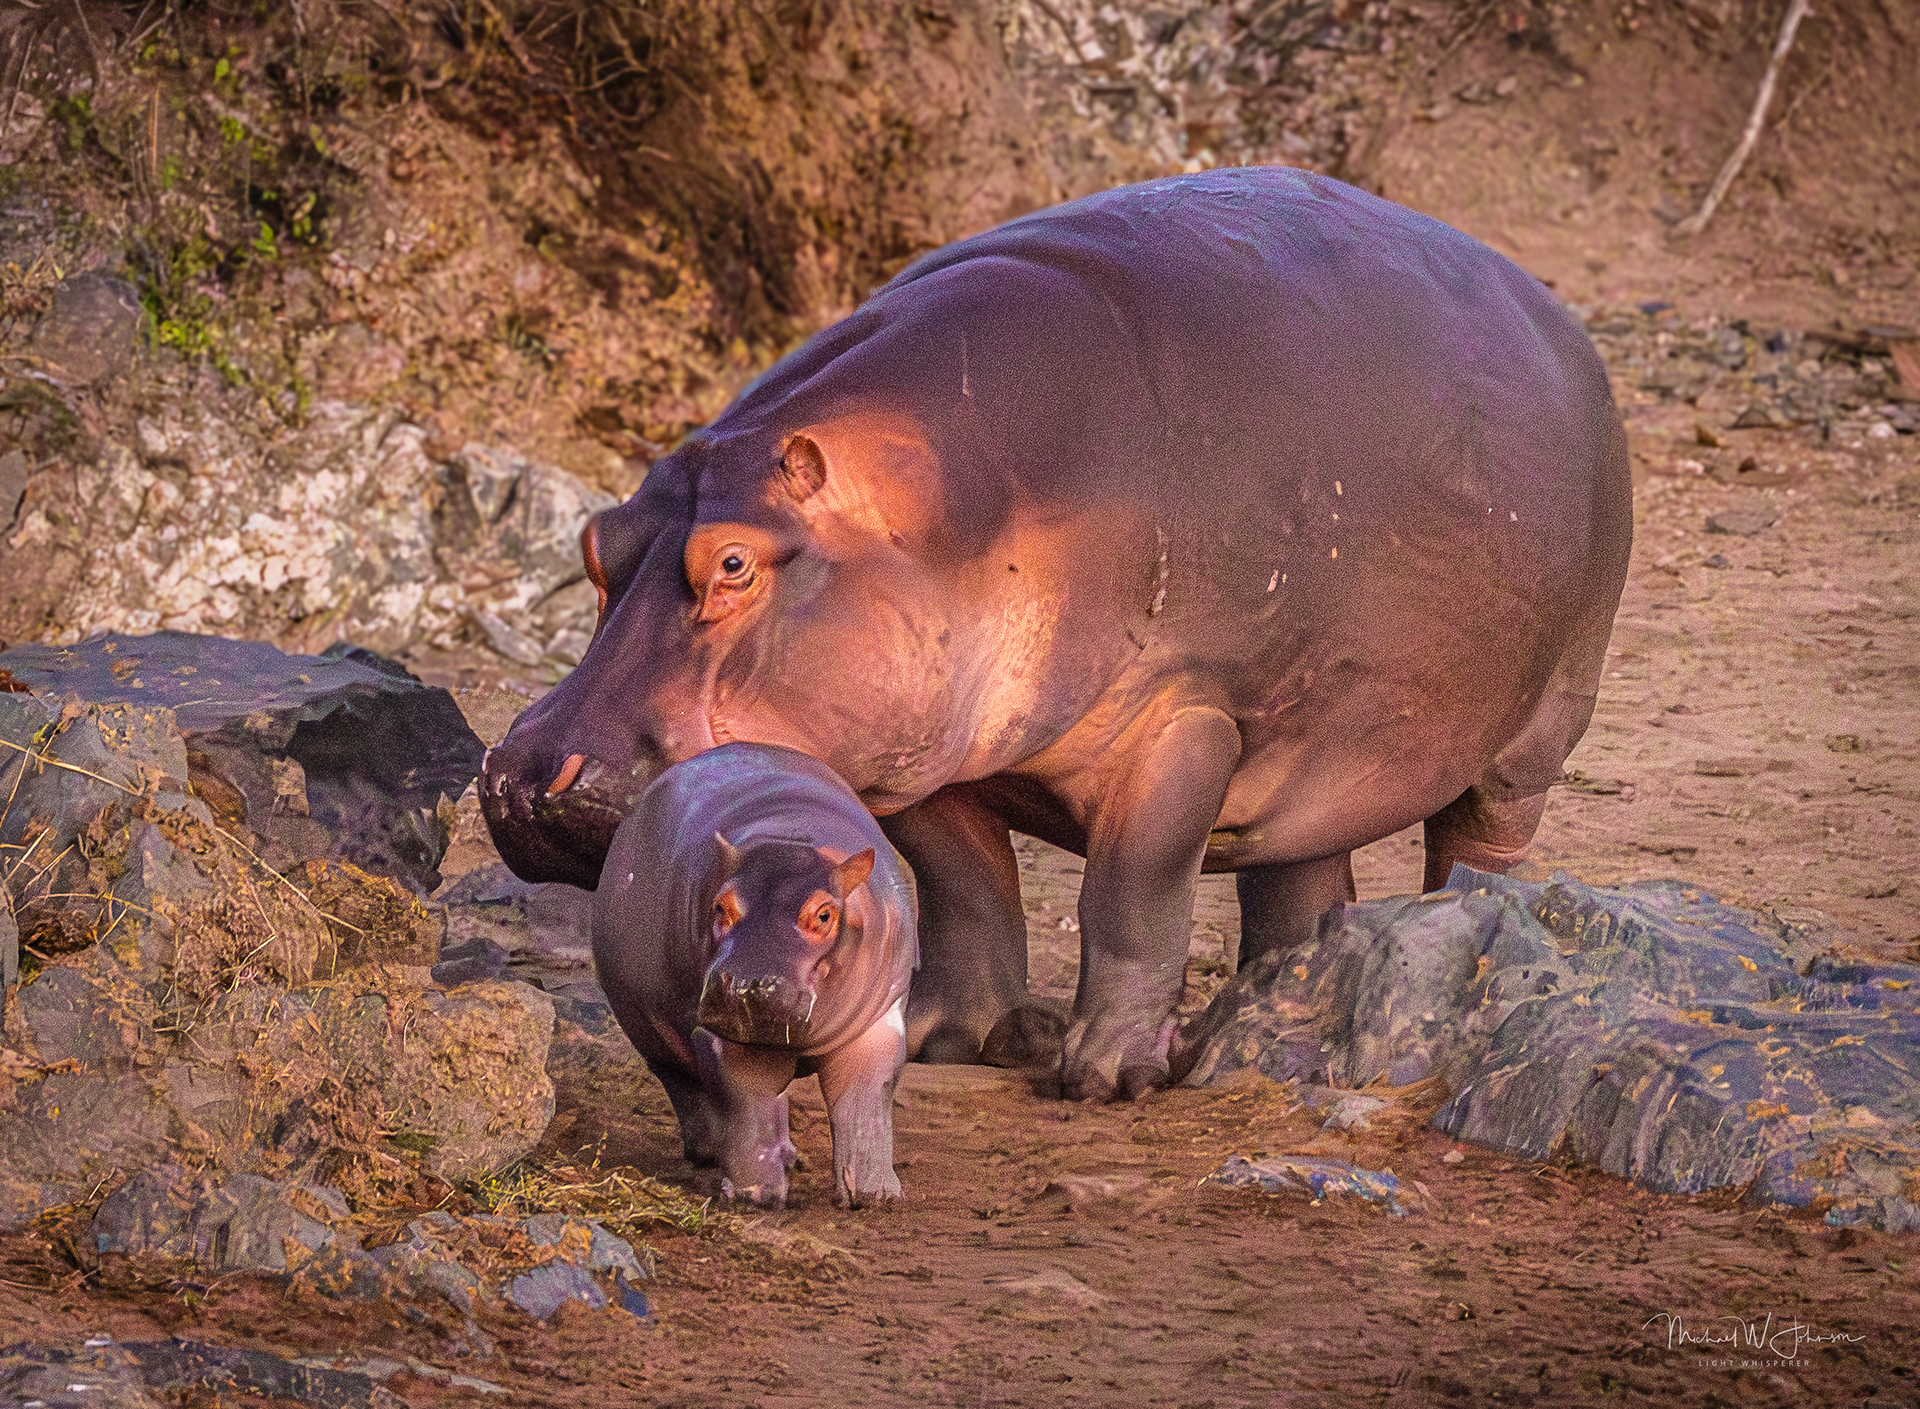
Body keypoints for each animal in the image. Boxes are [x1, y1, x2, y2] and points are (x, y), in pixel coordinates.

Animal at [485, 167, 1632, 1102]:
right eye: (595, 541)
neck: (954, 501)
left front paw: (1105, 1075)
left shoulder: (1185, 714)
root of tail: (1555, 315)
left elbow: (1130, 891)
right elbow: (965, 884)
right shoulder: (926, 744)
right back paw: (1265, 1011)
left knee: (1481, 841)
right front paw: (947, 1039)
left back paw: (1453, 941)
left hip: (1538, 725)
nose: (529, 775)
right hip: (1322, 734)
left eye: (731, 562)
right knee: (1302, 873)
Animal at [593, 742, 915, 1207]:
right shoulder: (726, 1037)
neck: (790, 837)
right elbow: (746, 1100)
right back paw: (711, 1152)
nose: (745, 983)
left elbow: (866, 1096)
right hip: (646, 1027)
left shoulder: (879, 1022)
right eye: (720, 907)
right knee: (684, 1086)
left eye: (824, 914)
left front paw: (875, 1196)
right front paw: (755, 1195)